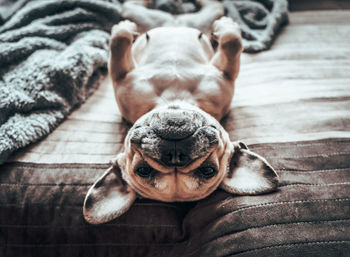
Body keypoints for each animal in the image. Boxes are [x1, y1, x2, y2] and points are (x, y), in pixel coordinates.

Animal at [82, 0, 278, 223]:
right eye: (143, 170)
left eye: (208, 170)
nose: (175, 155)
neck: (175, 97)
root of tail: (175, 21)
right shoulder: (122, 76)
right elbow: (119, 43)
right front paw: (124, 29)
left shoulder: (225, 74)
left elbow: (231, 41)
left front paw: (227, 28)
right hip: (142, 15)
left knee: (212, 7)